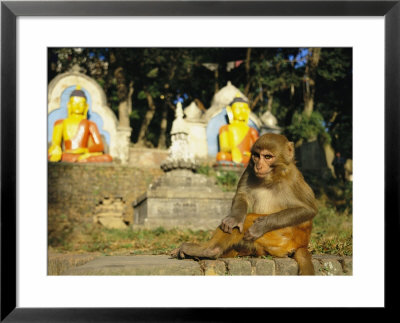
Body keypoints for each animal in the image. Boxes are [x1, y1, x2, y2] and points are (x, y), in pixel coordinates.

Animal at [170, 134, 318, 276]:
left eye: (268, 157)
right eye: (257, 156)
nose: (258, 166)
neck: (271, 178)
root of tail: (302, 243)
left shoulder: (293, 176)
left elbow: (308, 210)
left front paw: (261, 225)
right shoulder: (249, 169)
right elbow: (242, 195)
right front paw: (234, 218)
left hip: (283, 237)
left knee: (248, 220)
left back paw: (209, 250)